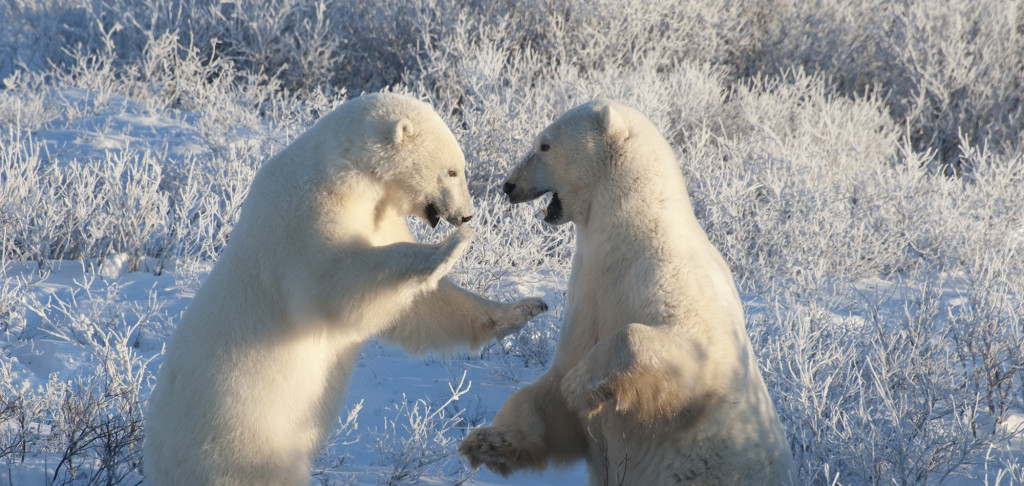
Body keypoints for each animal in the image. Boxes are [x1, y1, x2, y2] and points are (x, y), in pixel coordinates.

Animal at [144, 93, 548, 486]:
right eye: (452, 170)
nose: (466, 215)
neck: (343, 174)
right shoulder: (305, 215)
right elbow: (335, 281)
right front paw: (450, 247)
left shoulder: (378, 213)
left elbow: (416, 306)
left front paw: (524, 309)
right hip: (240, 436)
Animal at [459, 99, 795, 485]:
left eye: (544, 145)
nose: (509, 185)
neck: (631, 236)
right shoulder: (588, 293)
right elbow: (552, 395)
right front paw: (486, 441)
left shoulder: (669, 277)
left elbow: (686, 346)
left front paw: (580, 383)